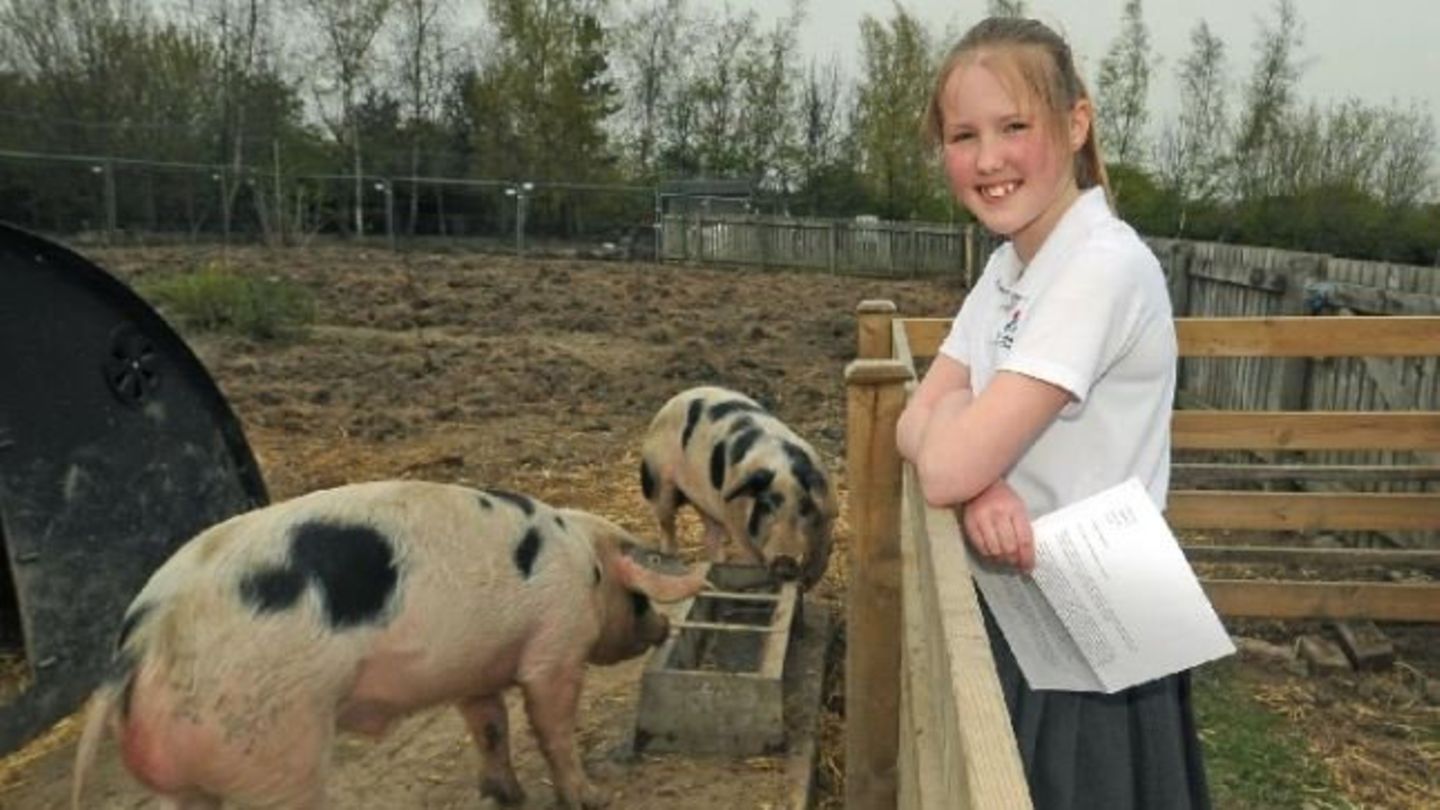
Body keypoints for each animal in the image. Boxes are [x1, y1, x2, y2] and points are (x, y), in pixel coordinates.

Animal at [71, 478, 702, 807]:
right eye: (639, 597)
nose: (662, 627)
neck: (583, 561)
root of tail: (138, 646)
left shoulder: (472, 669)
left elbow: (490, 726)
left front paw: (506, 795)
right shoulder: (556, 647)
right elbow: (551, 726)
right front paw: (591, 798)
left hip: (189, 782)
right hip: (269, 755)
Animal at [639, 383, 835, 585]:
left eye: (805, 508)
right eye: (765, 506)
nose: (785, 560)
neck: (781, 467)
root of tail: (676, 398)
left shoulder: (827, 524)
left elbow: (817, 565)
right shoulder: (738, 524)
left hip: (707, 502)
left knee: (711, 536)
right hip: (656, 479)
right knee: (667, 526)